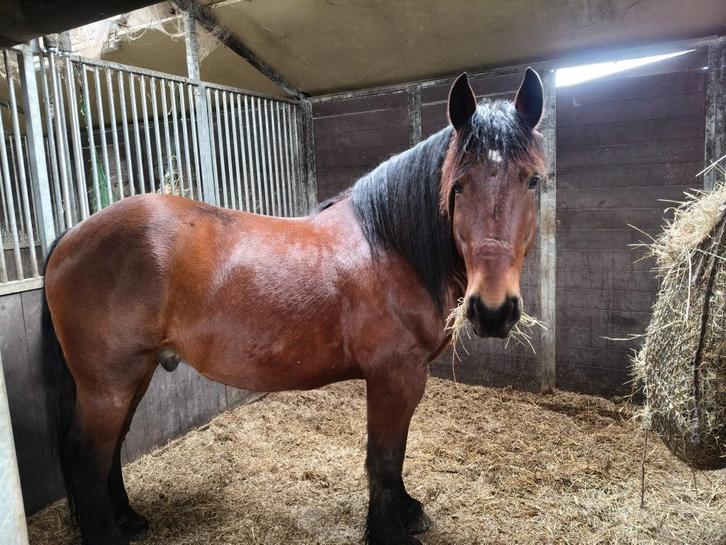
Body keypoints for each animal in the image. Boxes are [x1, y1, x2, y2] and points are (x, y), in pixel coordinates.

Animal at [41, 67, 546, 545]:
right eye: (457, 186)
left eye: (534, 180)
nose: (493, 311)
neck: (390, 248)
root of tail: (72, 236)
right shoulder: (395, 375)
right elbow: (383, 459)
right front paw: (390, 530)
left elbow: (397, 453)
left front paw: (408, 512)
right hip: (108, 382)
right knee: (88, 455)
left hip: (135, 373)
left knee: (111, 448)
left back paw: (129, 519)